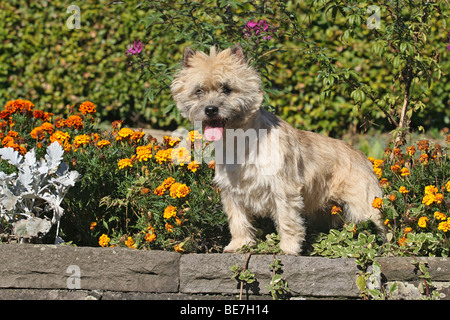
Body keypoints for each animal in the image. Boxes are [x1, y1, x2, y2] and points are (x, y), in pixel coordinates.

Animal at [171, 44, 384, 255]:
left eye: (226, 89)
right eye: (199, 91)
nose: (210, 109)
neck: (240, 141)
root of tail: (363, 157)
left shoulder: (283, 188)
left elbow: (287, 219)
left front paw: (288, 248)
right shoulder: (232, 192)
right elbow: (238, 220)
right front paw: (239, 244)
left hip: (364, 204)